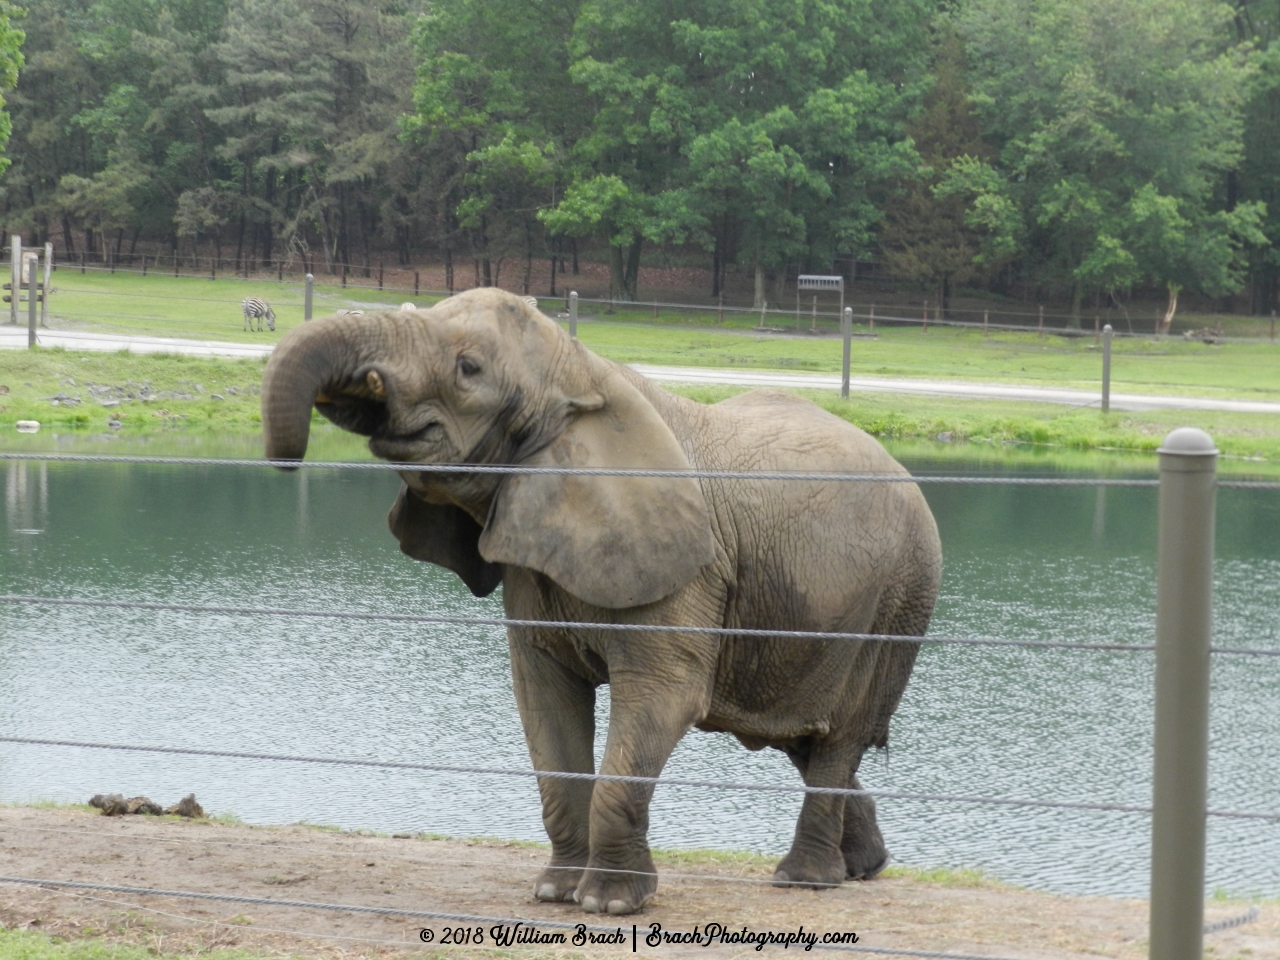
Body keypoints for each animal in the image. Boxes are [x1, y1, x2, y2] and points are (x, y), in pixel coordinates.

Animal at [259, 289, 942, 921]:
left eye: (468, 369)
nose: (288, 464)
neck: (580, 372)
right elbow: (544, 698)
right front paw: (555, 892)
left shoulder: (686, 568)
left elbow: (662, 695)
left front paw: (610, 904)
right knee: (800, 735)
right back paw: (864, 866)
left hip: (898, 600)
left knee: (836, 736)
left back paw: (805, 881)